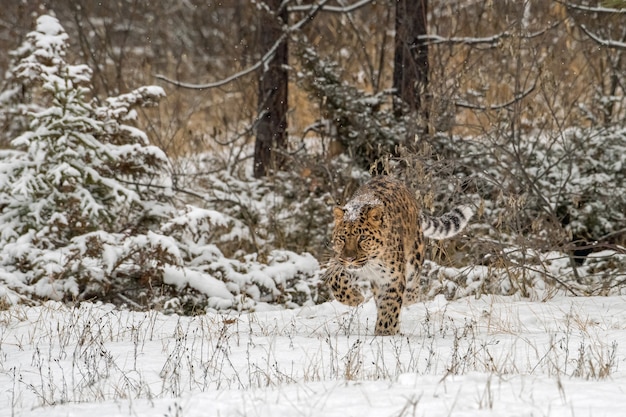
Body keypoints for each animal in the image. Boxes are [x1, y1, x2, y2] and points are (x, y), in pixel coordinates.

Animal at [324, 175, 470, 334]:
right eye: (342, 238)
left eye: (362, 238)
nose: (349, 259)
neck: (372, 263)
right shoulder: (340, 263)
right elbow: (334, 279)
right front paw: (355, 298)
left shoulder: (392, 277)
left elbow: (390, 306)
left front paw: (385, 332)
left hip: (414, 261)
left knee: (412, 291)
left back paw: (409, 302)